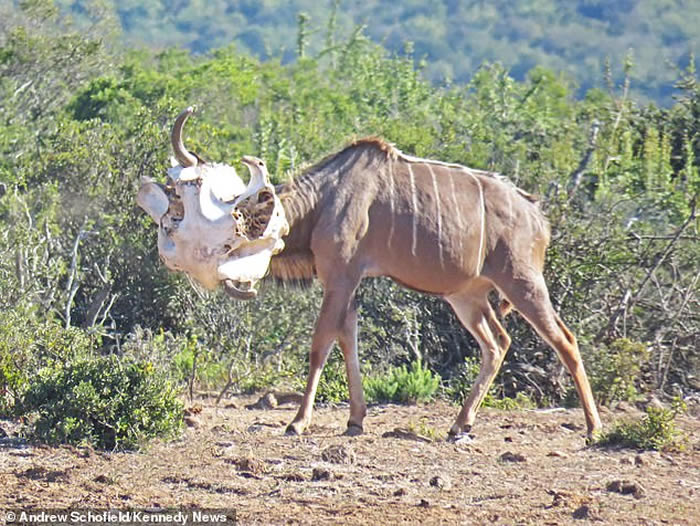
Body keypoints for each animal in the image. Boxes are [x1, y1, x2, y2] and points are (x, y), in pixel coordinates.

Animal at [135, 109, 600, 444]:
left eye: (225, 243)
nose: (234, 286)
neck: (325, 198)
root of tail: (537, 214)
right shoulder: (350, 282)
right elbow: (348, 341)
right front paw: (355, 420)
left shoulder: (340, 276)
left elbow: (321, 343)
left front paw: (297, 422)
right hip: (466, 297)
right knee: (497, 343)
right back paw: (459, 425)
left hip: (521, 282)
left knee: (564, 339)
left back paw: (593, 427)